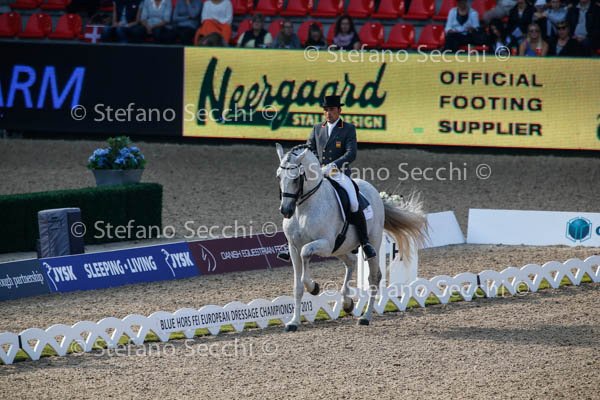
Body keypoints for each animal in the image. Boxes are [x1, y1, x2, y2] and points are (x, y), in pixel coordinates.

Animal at [275, 143, 428, 331]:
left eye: (296, 179)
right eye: (279, 176)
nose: (286, 211)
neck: (303, 208)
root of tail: (374, 191)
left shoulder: (324, 244)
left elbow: (306, 253)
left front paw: (314, 287)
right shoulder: (293, 248)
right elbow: (297, 286)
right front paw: (294, 322)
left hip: (371, 242)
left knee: (374, 277)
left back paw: (365, 317)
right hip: (340, 248)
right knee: (352, 262)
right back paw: (347, 303)